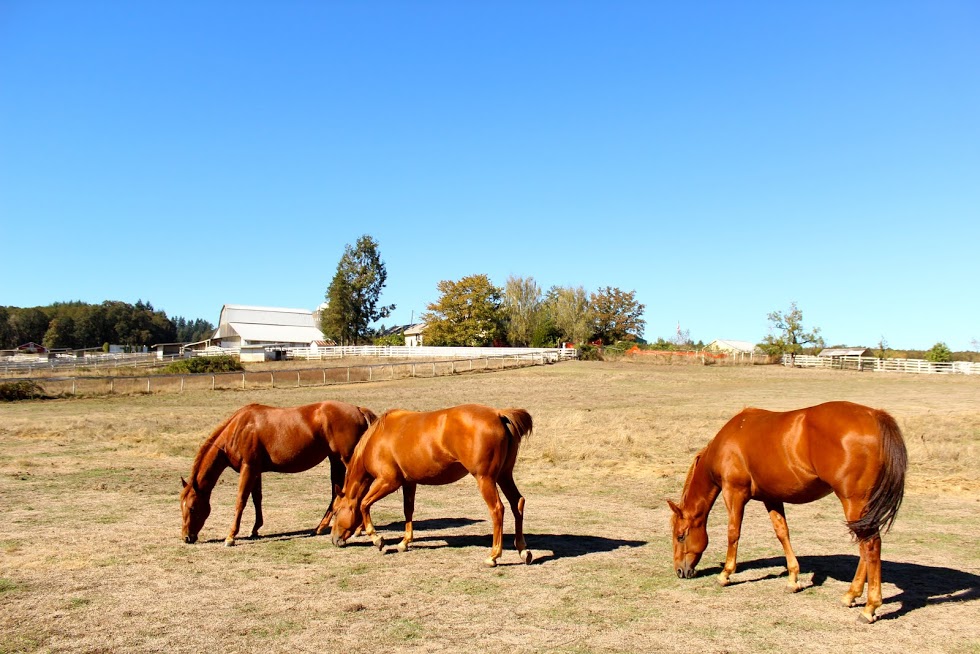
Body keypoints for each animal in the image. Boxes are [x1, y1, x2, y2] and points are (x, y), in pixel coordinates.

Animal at [178, 400, 378, 548]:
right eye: (181, 507)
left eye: (192, 508)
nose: (186, 537)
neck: (239, 428)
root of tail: (358, 410)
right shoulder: (255, 470)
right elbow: (256, 498)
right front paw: (255, 529)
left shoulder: (248, 468)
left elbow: (240, 501)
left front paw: (231, 536)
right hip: (335, 459)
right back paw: (320, 528)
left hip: (347, 459)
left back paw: (358, 528)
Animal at [330, 402, 532, 568]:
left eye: (335, 512)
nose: (334, 539)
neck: (378, 439)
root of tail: (498, 414)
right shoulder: (409, 482)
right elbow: (408, 510)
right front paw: (404, 542)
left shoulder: (388, 482)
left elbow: (364, 504)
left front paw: (377, 539)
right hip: (504, 476)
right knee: (517, 503)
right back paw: (523, 550)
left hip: (486, 479)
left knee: (497, 509)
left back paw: (493, 556)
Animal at [668, 400, 908, 624]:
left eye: (681, 536)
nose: (680, 571)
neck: (729, 441)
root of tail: (874, 415)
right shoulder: (771, 497)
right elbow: (782, 533)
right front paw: (793, 579)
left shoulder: (734, 493)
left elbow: (733, 533)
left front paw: (725, 574)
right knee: (865, 546)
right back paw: (851, 595)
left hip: (854, 502)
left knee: (870, 544)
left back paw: (870, 607)